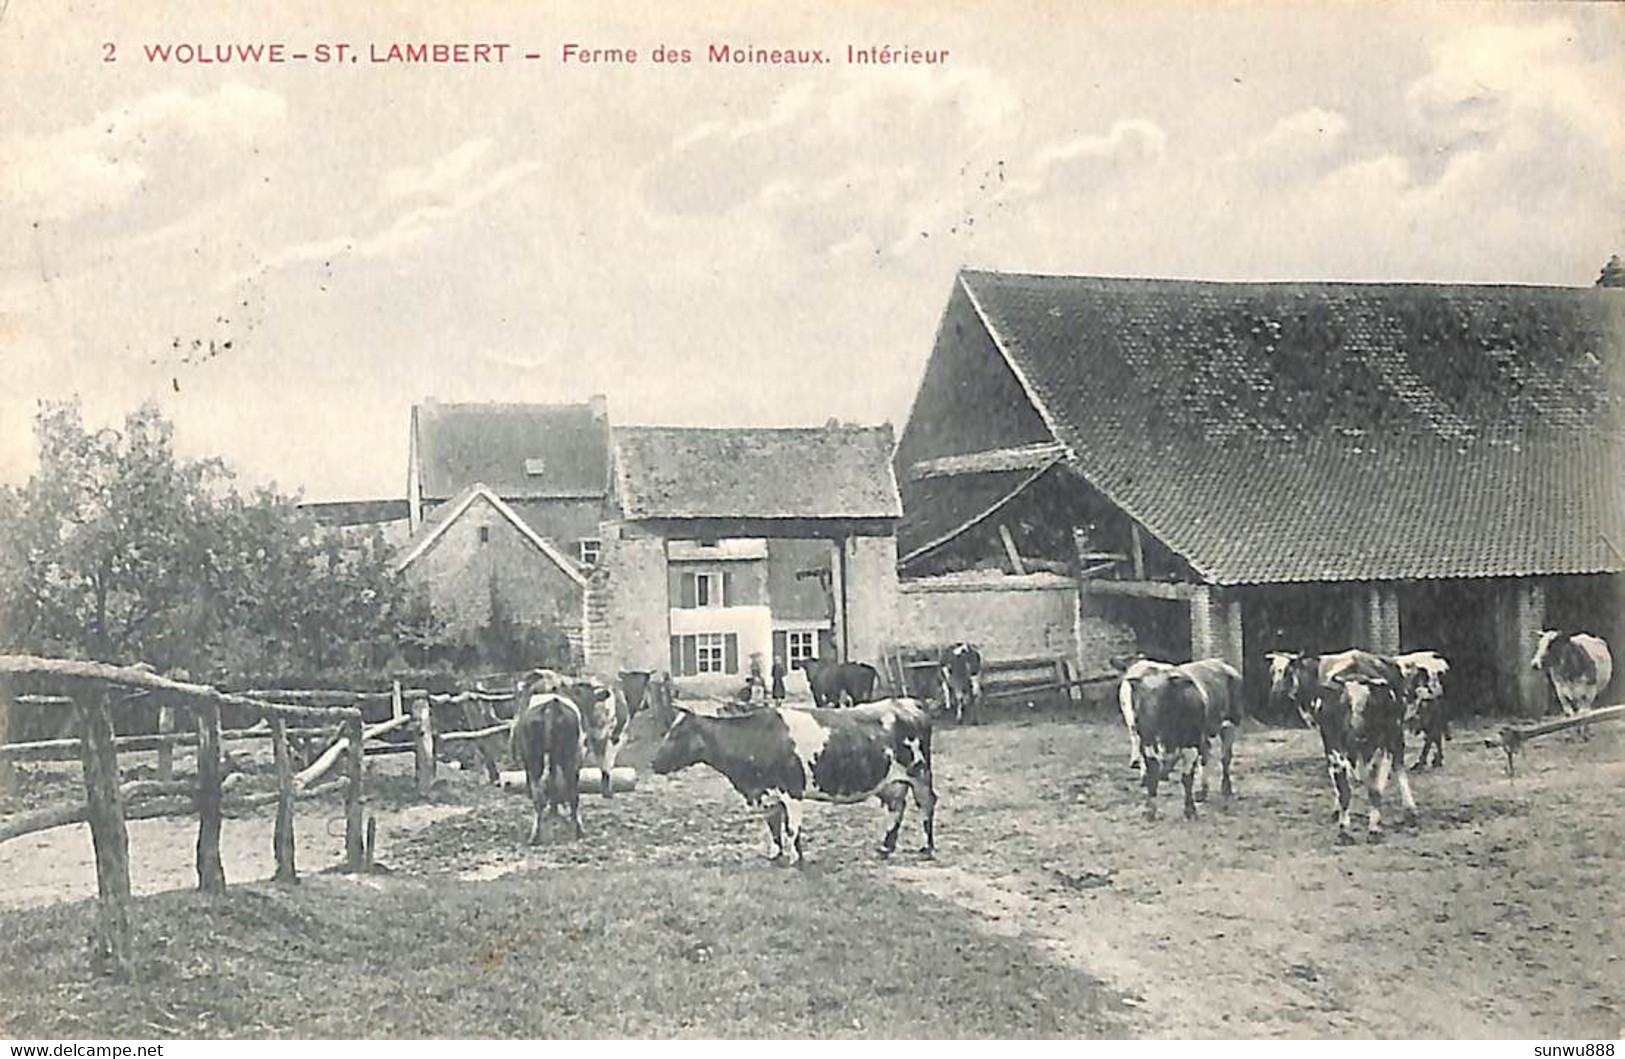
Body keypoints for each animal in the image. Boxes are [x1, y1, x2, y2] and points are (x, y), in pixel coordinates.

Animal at [643, 698, 936, 864]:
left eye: (677, 734)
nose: (653, 762)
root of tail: (909, 703)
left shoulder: (792, 790)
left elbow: (792, 827)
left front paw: (797, 857)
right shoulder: (767, 793)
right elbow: (774, 826)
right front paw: (775, 854)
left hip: (920, 774)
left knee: (926, 805)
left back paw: (926, 849)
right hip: (892, 782)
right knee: (896, 809)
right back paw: (884, 849)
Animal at [1313, 675, 1417, 851]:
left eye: (1370, 705)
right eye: (1344, 706)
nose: (1358, 736)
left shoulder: (1383, 750)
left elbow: (1375, 790)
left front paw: (1374, 829)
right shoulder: (1334, 751)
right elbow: (1344, 791)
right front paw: (1344, 831)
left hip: (1396, 738)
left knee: (1399, 767)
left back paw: (1410, 808)